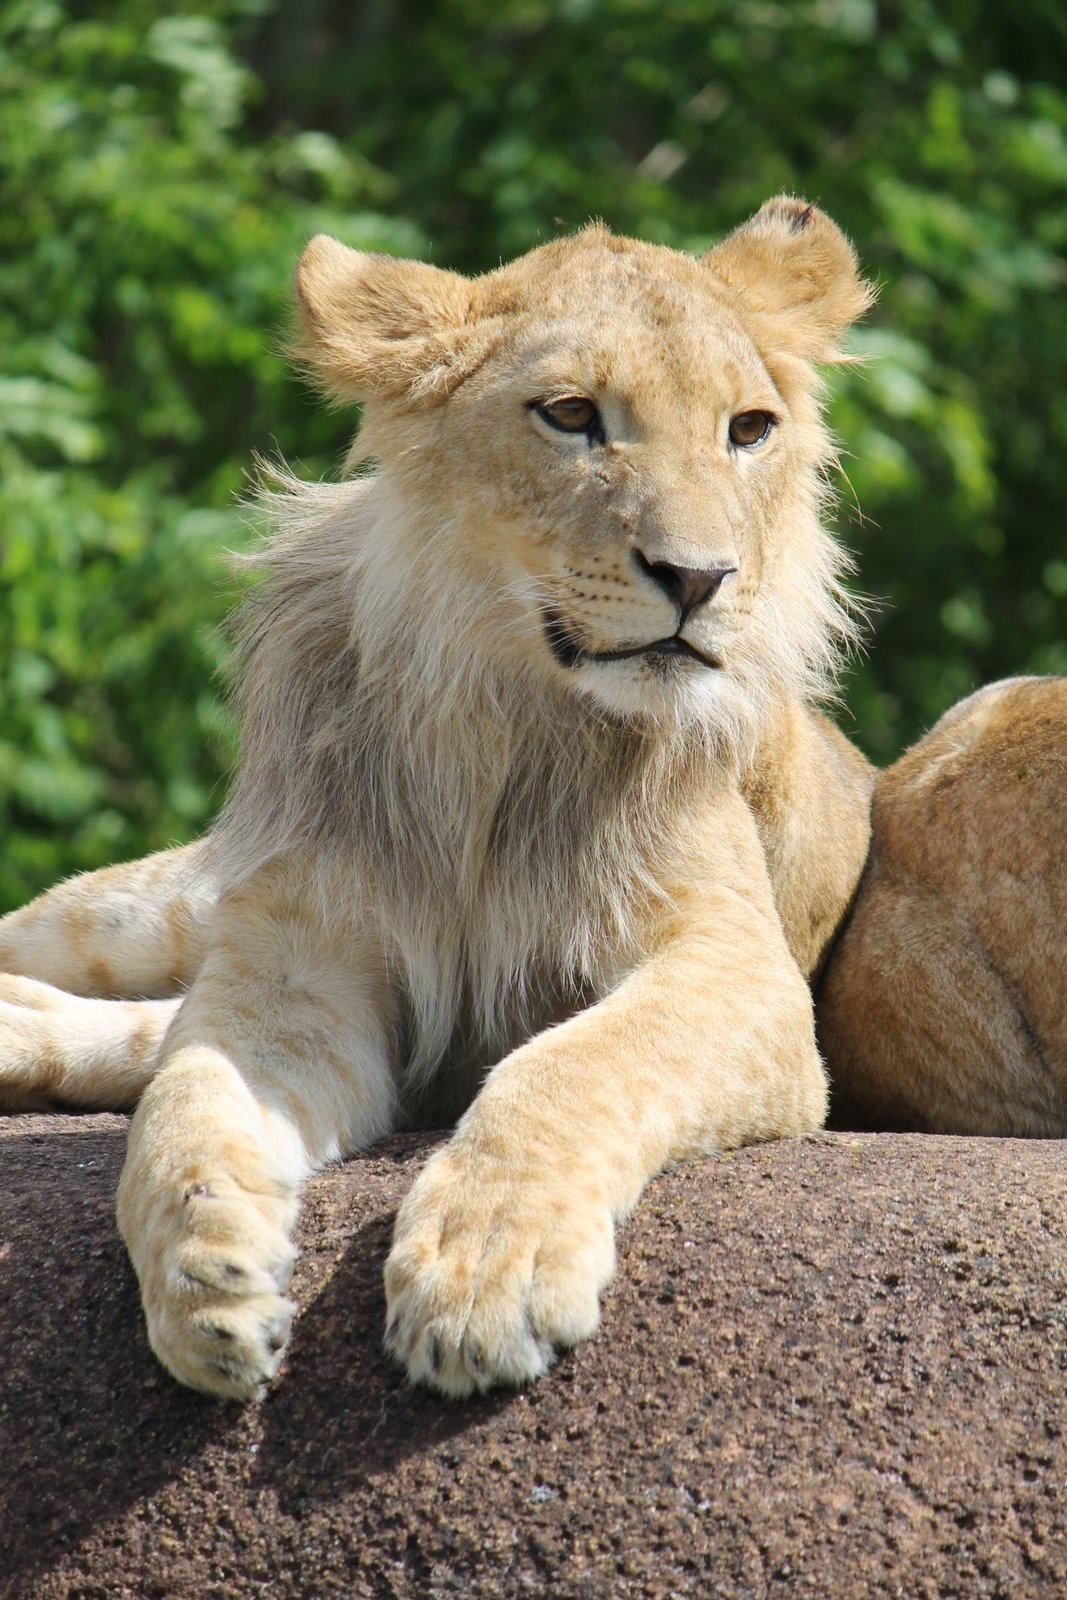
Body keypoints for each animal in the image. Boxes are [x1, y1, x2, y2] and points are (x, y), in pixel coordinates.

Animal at [0, 196, 878, 1399]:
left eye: (747, 429)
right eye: (571, 415)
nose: (699, 578)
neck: (498, 721)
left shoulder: (741, 974)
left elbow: (573, 1064)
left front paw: (483, 1274)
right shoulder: (294, 965)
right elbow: (186, 1102)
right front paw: (206, 1275)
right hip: (148, 910)